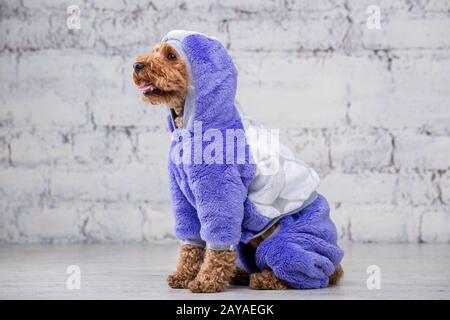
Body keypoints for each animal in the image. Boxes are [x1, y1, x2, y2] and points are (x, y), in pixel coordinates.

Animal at [134, 30, 344, 292]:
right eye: (153, 51)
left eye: (171, 56)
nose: (137, 65)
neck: (190, 130)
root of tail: (337, 266)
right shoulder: (181, 194)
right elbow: (191, 244)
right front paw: (183, 275)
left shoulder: (219, 189)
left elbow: (217, 246)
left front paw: (206, 280)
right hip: (250, 246)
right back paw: (240, 274)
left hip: (288, 243)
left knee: (307, 275)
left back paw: (265, 279)